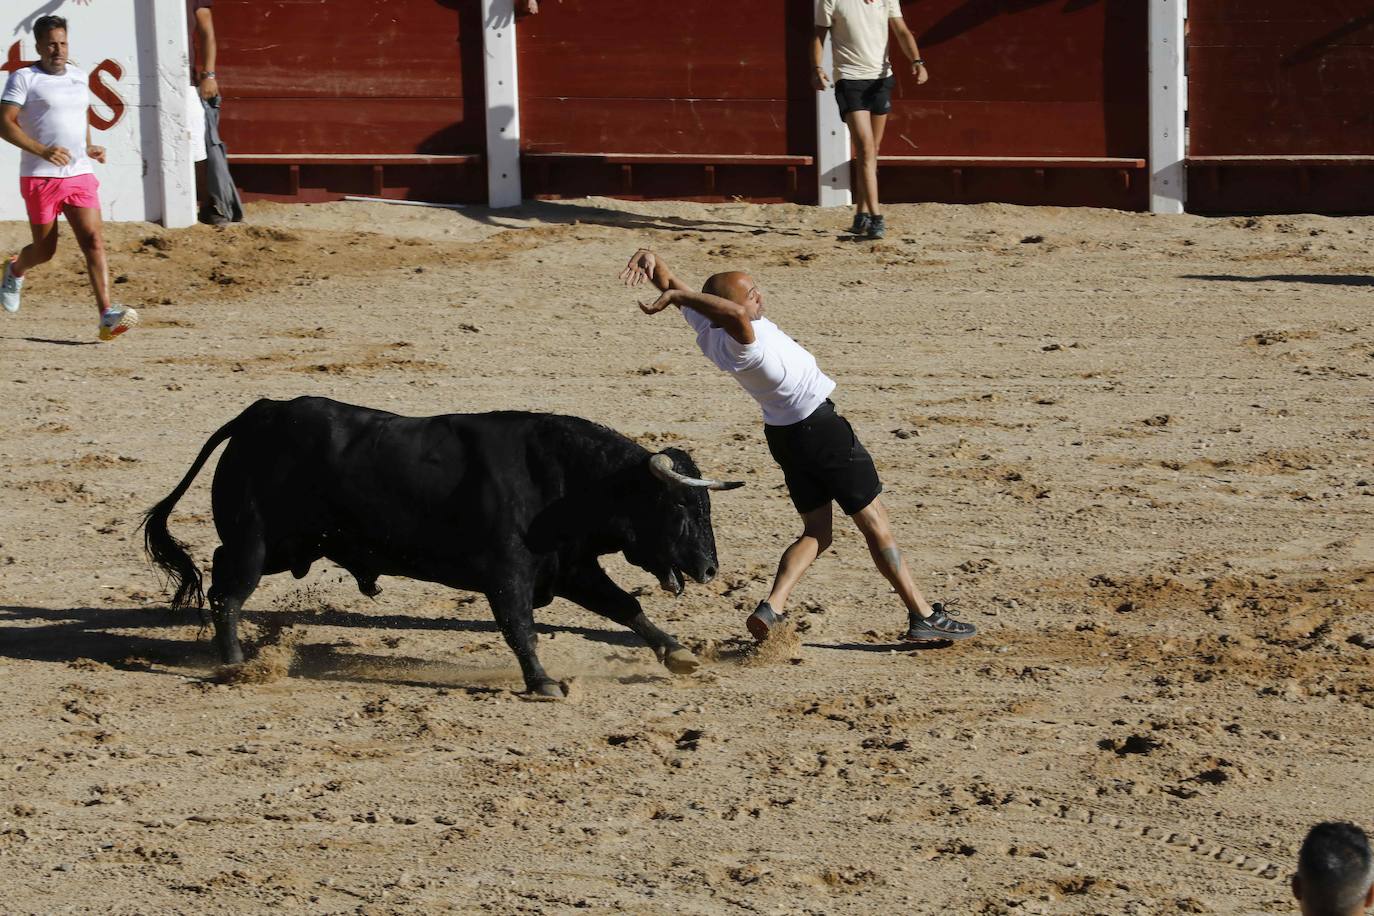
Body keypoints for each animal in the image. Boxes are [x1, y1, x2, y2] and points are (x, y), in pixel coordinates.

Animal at [144, 398, 741, 697]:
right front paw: (543, 682)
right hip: (257, 539)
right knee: (228, 591)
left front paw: (679, 653)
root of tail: (258, 413)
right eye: (681, 509)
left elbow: (625, 606)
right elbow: (519, 627)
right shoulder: (508, 573)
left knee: (220, 572)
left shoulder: (571, 567)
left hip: (283, 547)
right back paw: (235, 664)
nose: (711, 570)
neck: (568, 483)